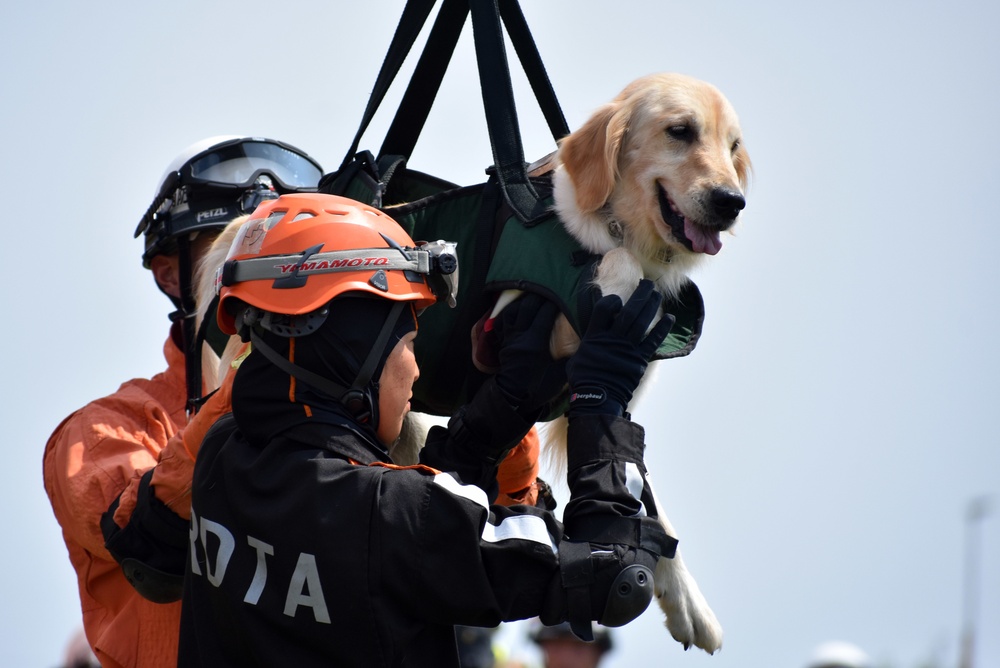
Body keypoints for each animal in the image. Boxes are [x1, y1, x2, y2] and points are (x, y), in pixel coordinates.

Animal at [195, 73, 748, 652]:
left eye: (732, 147)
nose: (731, 202)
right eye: (679, 131)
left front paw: (689, 605)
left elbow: (645, 490)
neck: (611, 229)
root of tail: (244, 226)